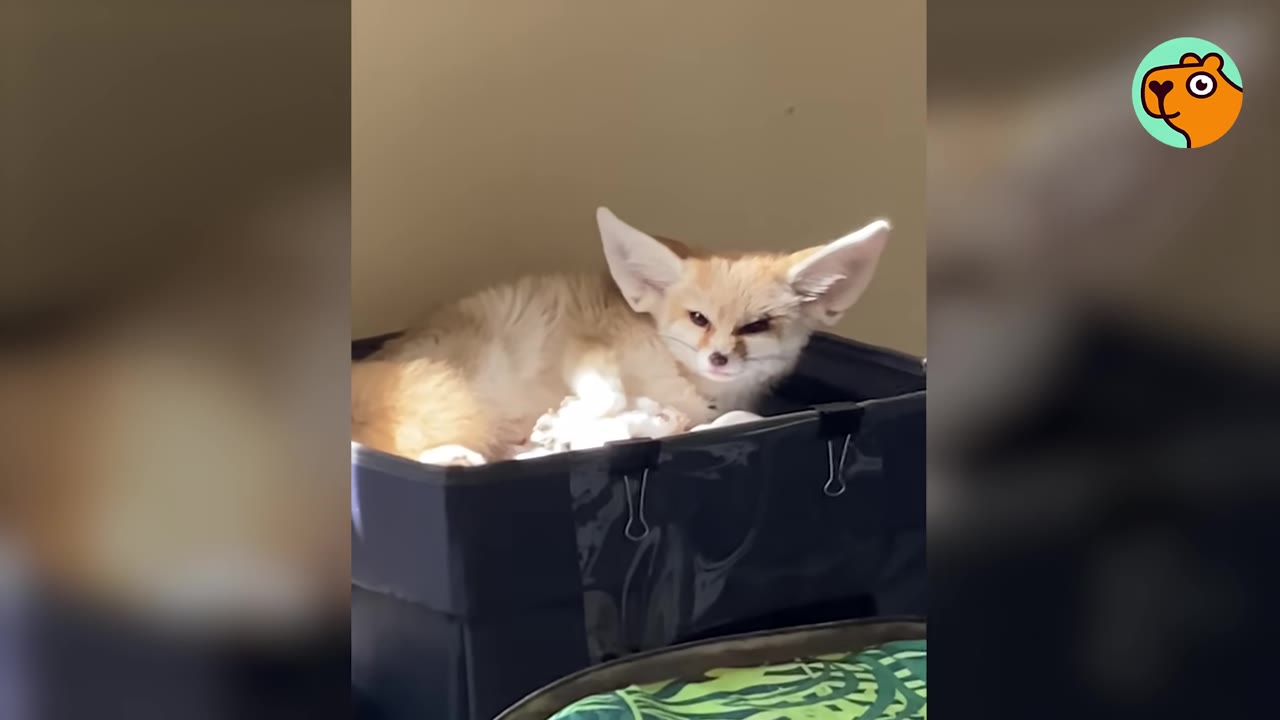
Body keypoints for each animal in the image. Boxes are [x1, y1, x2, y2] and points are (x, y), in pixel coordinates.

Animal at [352, 207, 890, 466]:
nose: (719, 358)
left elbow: (730, 421)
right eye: (698, 319)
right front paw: (585, 418)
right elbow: (608, 396)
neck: (683, 381)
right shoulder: (584, 342)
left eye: (755, 326)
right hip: (455, 405)